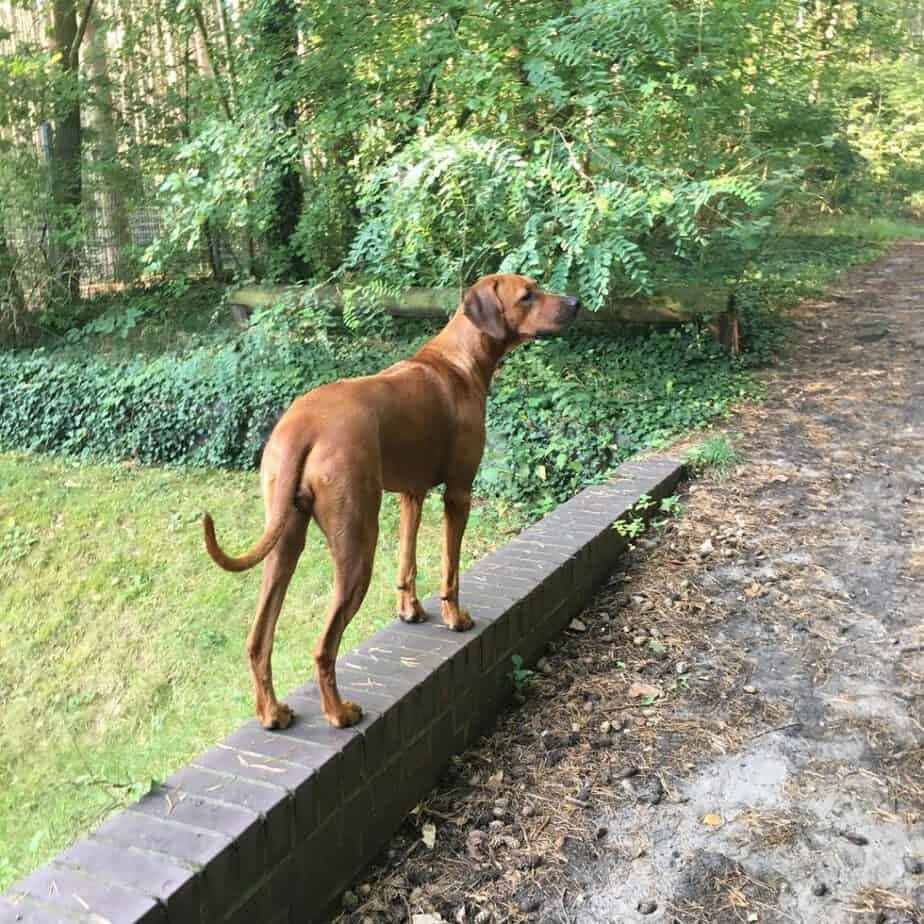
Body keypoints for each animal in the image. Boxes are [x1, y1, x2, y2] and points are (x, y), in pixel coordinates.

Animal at [204, 274, 576, 728]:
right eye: (527, 296)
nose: (575, 303)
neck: (458, 360)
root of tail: (303, 426)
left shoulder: (411, 495)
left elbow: (407, 561)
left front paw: (410, 610)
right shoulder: (459, 492)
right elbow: (450, 570)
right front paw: (455, 618)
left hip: (285, 540)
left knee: (259, 638)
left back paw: (271, 713)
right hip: (358, 543)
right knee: (324, 645)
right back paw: (339, 712)